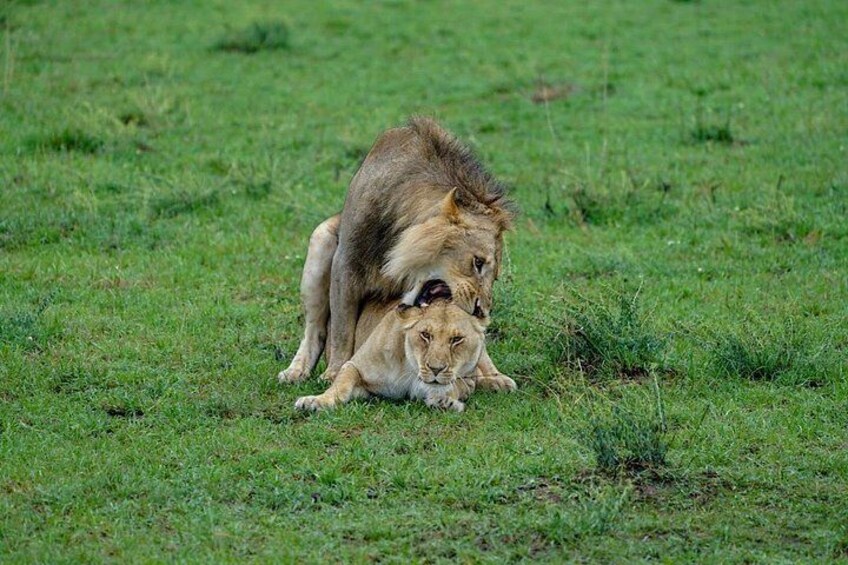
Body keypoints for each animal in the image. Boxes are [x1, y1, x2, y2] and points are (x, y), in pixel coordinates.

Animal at [278, 117, 517, 389]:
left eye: (494, 276)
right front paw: (334, 372)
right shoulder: (345, 263)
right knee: (315, 329)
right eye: (477, 262)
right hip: (321, 240)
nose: (481, 311)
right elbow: (341, 329)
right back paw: (296, 370)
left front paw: (491, 374)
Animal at [294, 299, 485, 412]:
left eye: (457, 339)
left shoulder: (467, 381)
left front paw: (445, 402)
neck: (410, 369)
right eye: (425, 335)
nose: (435, 369)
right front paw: (314, 402)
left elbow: (453, 388)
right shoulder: (355, 367)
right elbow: (340, 386)